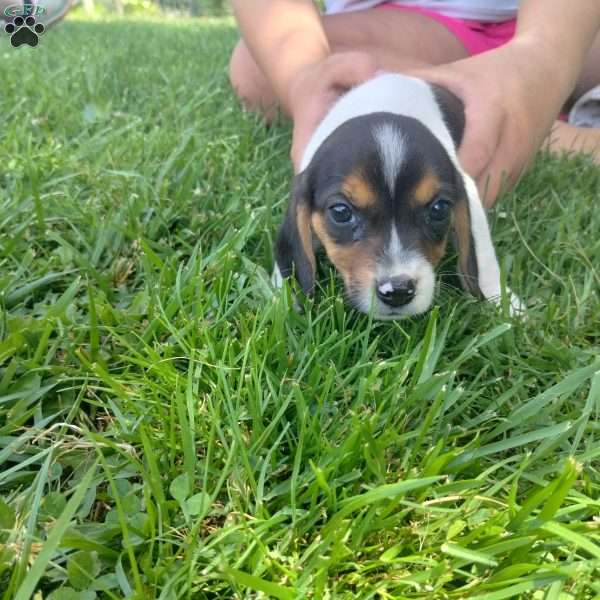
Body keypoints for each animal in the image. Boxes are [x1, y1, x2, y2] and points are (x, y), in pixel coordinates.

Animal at [274, 73, 516, 318]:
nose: (398, 291)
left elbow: (484, 254)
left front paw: (504, 302)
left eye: (439, 209)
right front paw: (283, 300)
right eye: (341, 212)